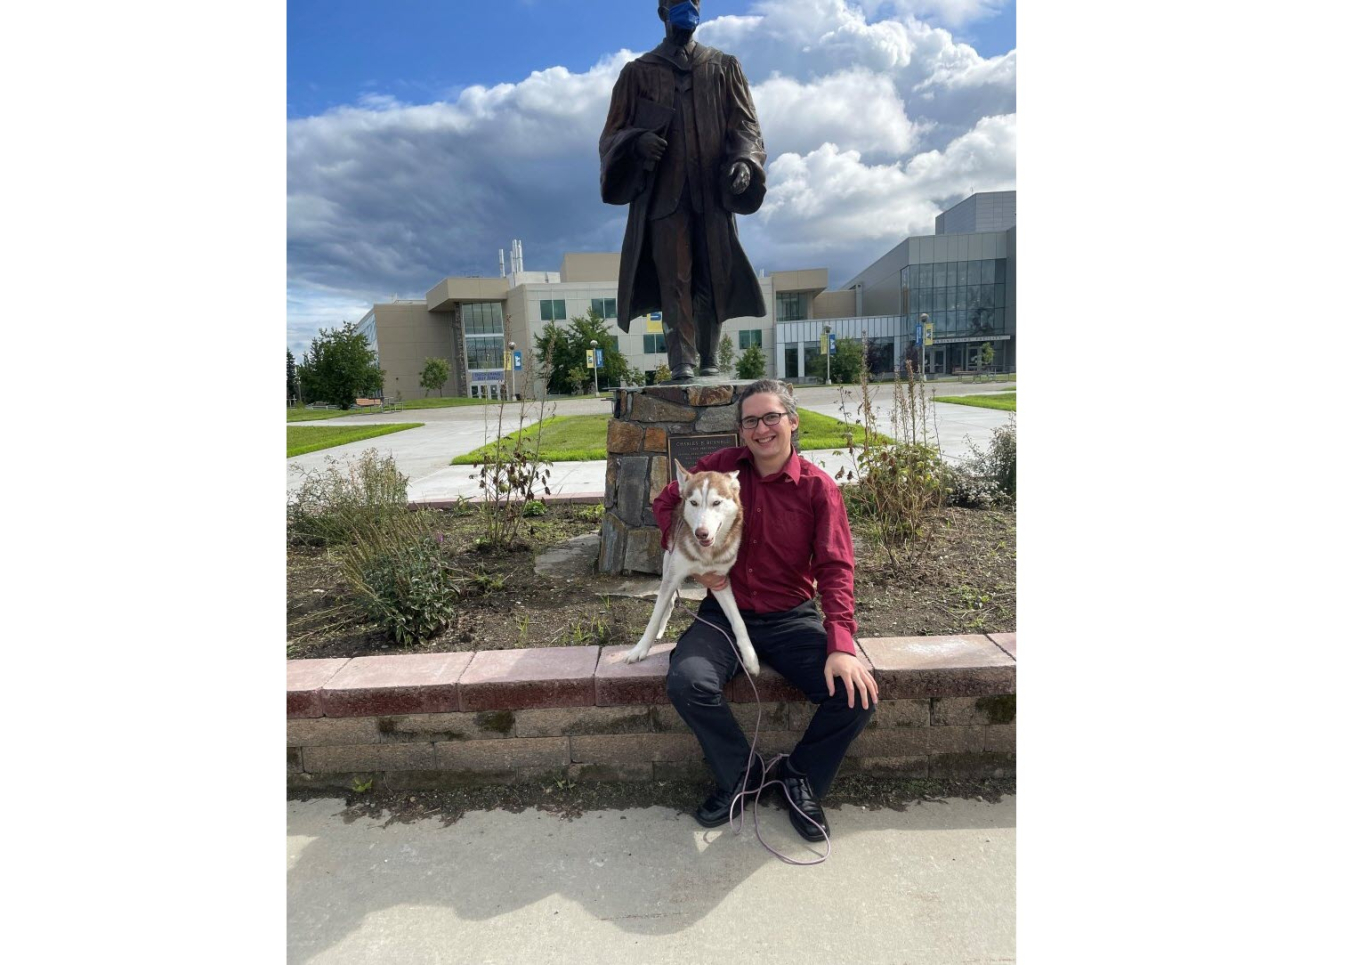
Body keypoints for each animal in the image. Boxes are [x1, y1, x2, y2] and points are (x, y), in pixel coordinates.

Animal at [621, 461, 761, 674]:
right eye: (694, 503)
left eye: (716, 503)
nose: (701, 533)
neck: (706, 554)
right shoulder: (673, 574)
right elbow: (654, 617)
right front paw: (640, 649)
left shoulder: (720, 581)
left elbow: (738, 621)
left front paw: (750, 658)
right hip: (668, 562)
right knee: (668, 601)